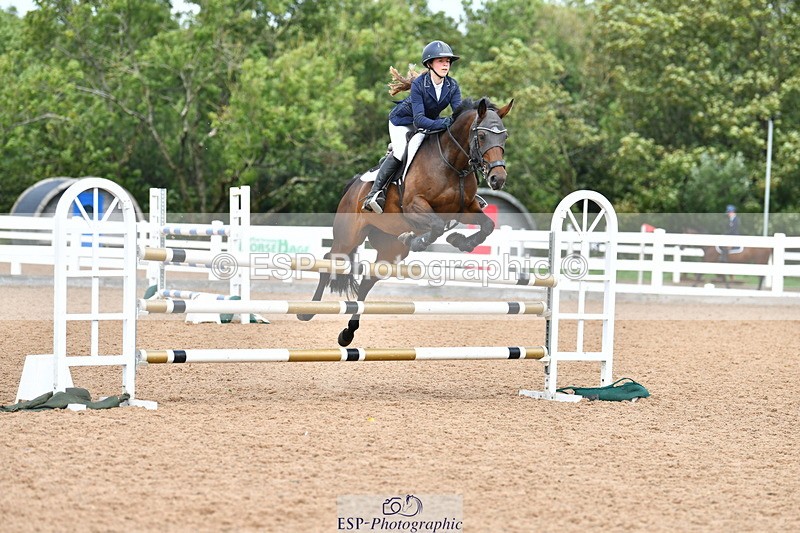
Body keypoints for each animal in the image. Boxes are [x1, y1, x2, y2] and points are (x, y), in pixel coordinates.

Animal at [298, 97, 514, 346]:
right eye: (482, 136)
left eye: (504, 137)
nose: (497, 179)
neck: (452, 164)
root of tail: (353, 185)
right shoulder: (414, 206)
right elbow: (436, 226)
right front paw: (417, 240)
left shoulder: (465, 210)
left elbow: (487, 226)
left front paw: (459, 241)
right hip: (348, 236)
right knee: (328, 261)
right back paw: (307, 312)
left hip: (389, 248)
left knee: (368, 279)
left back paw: (347, 333)